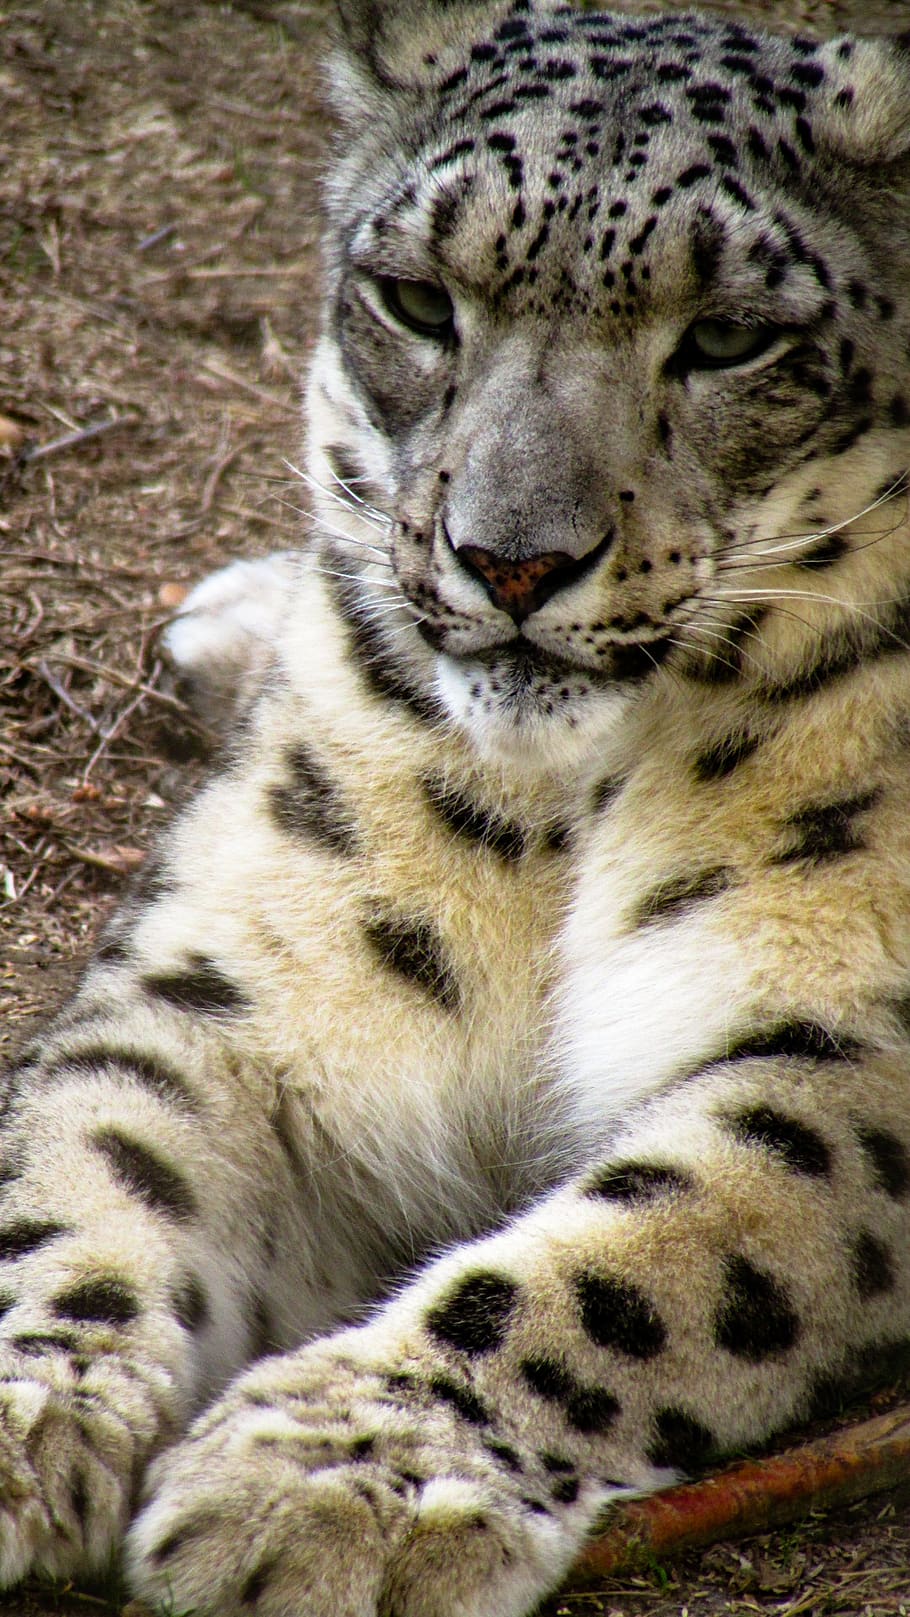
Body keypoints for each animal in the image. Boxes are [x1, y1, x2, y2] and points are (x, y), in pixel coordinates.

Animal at [4, 2, 910, 1613]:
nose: (509, 560)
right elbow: (99, 1151)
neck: (560, 818)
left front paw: (331, 1479)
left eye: (731, 335)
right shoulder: (240, 975)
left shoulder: (853, 1036)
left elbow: (655, 1250)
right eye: (419, 300)